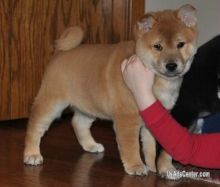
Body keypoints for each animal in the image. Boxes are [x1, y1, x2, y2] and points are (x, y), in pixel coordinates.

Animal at [23, 4, 198, 177]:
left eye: (180, 44)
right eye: (158, 47)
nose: (171, 65)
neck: (155, 79)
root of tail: (60, 53)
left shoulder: (151, 122)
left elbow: (150, 147)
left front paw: (153, 167)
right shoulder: (127, 119)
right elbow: (131, 147)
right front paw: (136, 166)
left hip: (88, 106)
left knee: (78, 123)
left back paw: (91, 145)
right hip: (51, 103)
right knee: (35, 127)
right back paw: (31, 154)